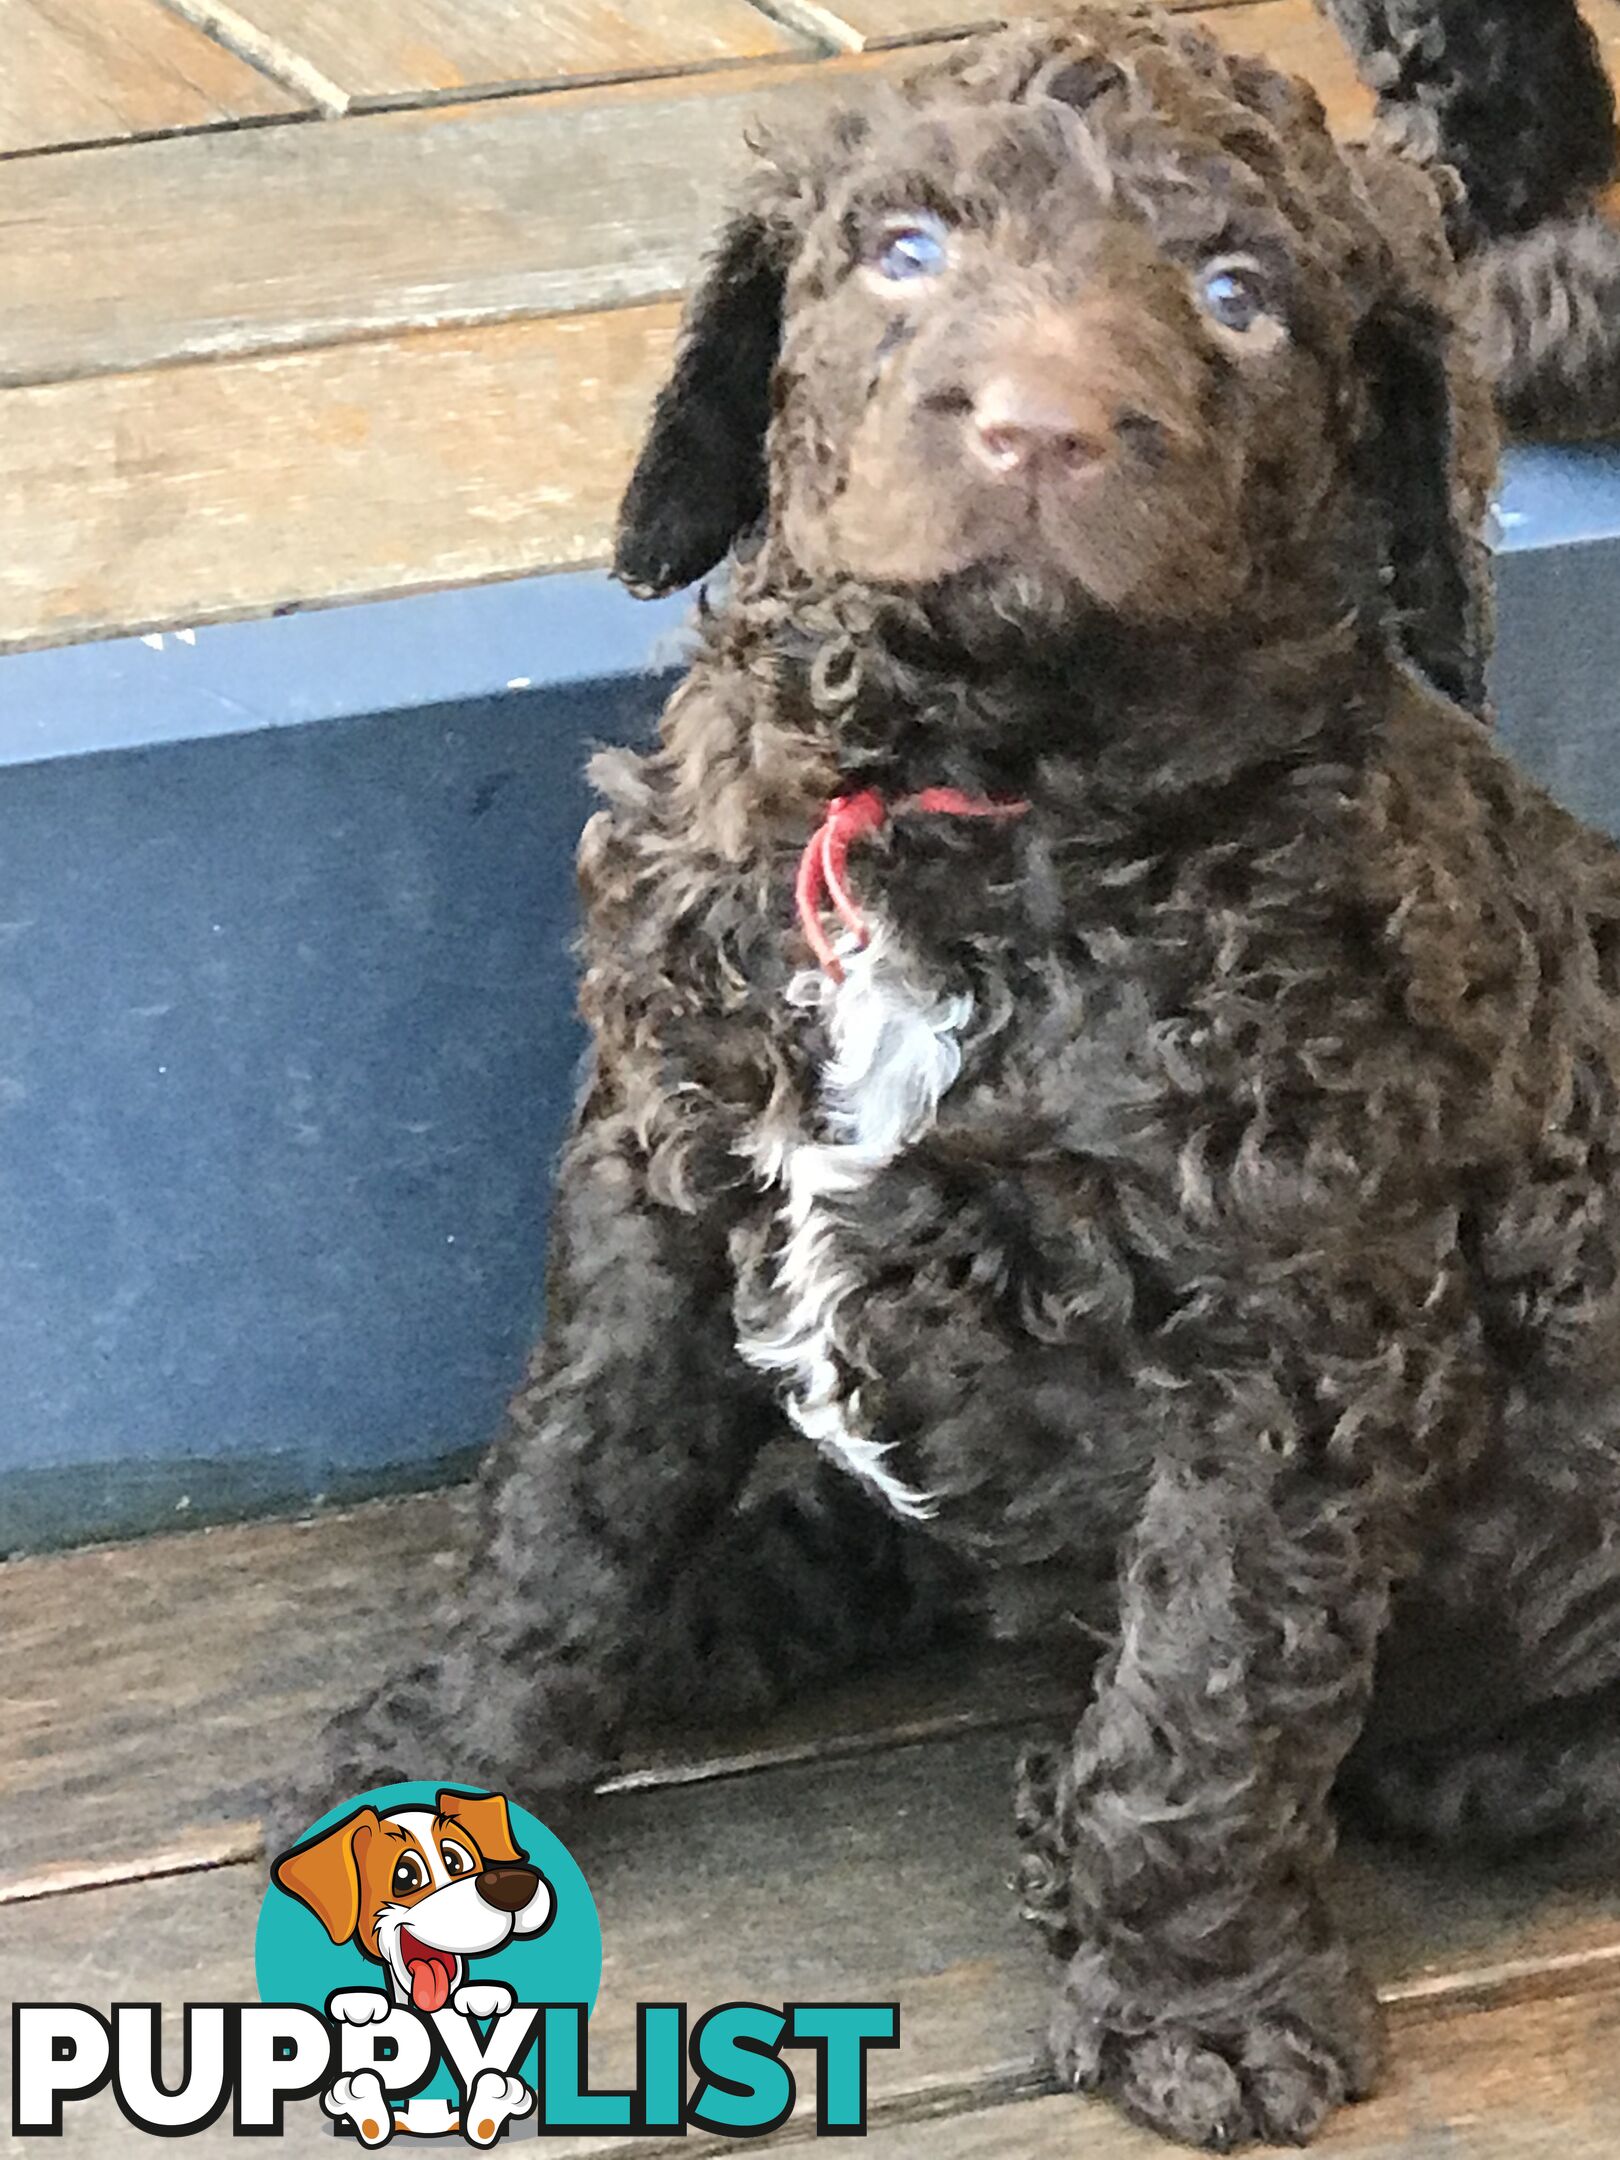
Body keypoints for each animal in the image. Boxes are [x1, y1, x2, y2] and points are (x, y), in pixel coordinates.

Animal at [285, 8, 1620, 2151]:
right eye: (907, 252)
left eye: (1240, 300)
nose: (1038, 428)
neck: (969, 800)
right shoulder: (661, 1156)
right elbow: (567, 1488)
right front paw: (454, 1754)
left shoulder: (1299, 1338)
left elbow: (1207, 1695)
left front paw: (1201, 1999)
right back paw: (741, 1596)